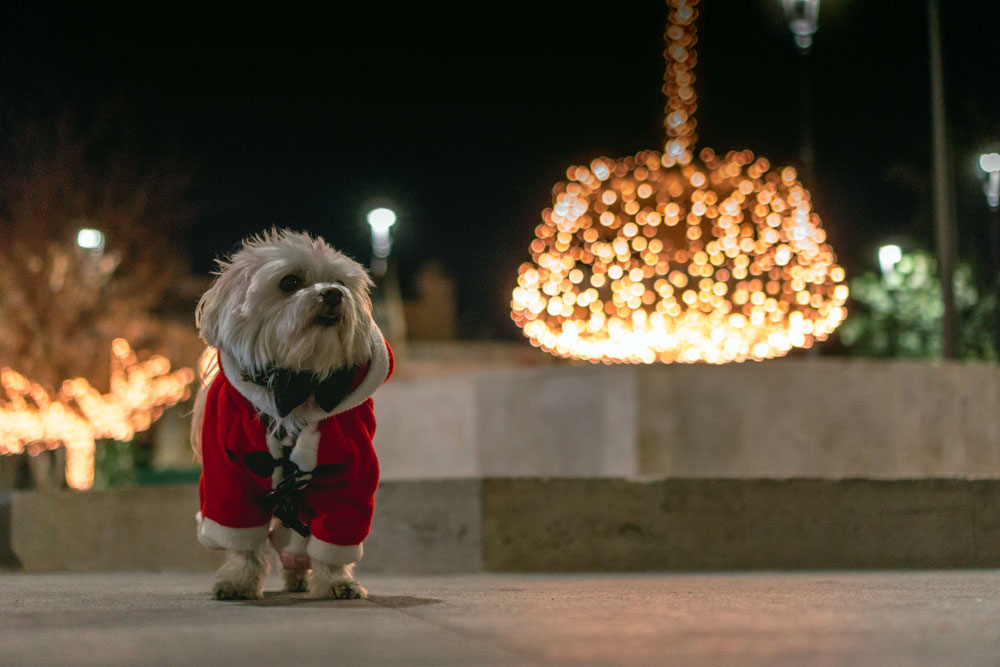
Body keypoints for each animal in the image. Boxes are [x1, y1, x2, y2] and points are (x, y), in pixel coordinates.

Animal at [189, 228, 392, 600]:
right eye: (290, 282)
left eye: (340, 281)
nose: (333, 293)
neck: (298, 382)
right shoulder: (229, 476)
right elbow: (241, 535)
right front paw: (239, 580)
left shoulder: (350, 471)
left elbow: (337, 529)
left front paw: (336, 581)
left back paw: (299, 574)